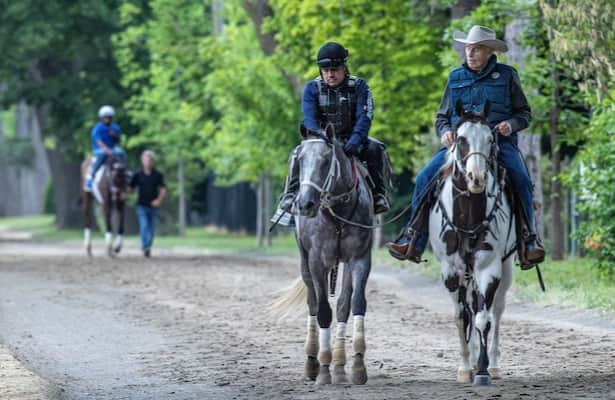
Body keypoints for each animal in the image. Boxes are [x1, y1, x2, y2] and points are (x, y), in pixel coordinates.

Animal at [270, 126, 376, 386]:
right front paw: (324, 369)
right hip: (304, 261)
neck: (337, 212)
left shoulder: (359, 259)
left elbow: (354, 304)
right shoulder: (317, 262)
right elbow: (323, 310)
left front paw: (356, 366)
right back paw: (312, 362)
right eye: (299, 160)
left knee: (343, 304)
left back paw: (339, 366)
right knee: (312, 303)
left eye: (326, 160)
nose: (305, 204)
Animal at [428, 101, 520, 386]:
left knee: (496, 311)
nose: (476, 178)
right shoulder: (450, 270)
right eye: (460, 139)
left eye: (491, 139)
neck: (468, 215)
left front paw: (482, 371)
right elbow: (462, 318)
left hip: (505, 268)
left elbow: (483, 319)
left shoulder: (489, 268)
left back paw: (494, 364)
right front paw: (465, 368)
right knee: (471, 307)